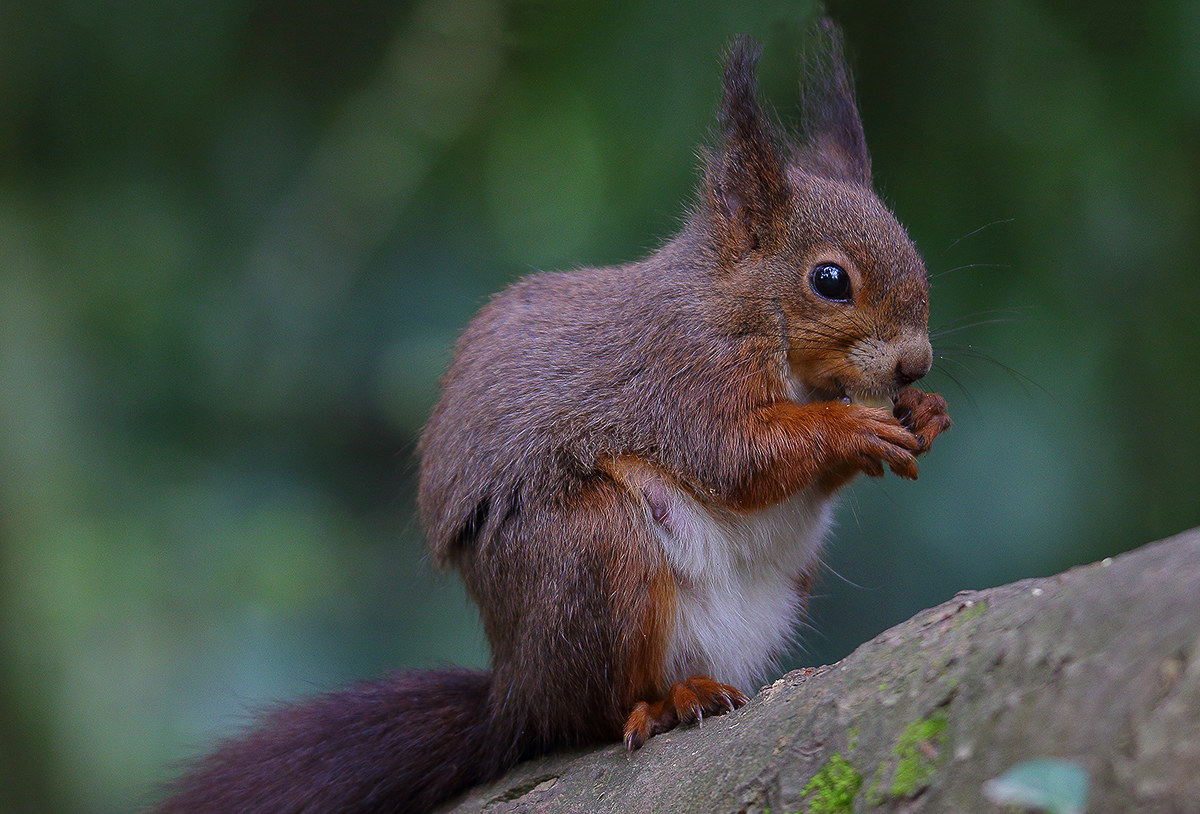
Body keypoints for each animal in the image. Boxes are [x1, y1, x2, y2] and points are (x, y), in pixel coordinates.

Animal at [156, 20, 950, 814]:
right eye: (830, 280)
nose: (916, 363)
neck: (747, 313)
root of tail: (514, 696)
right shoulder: (683, 378)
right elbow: (736, 458)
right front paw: (850, 428)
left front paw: (923, 412)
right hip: (592, 555)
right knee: (595, 711)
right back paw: (667, 704)